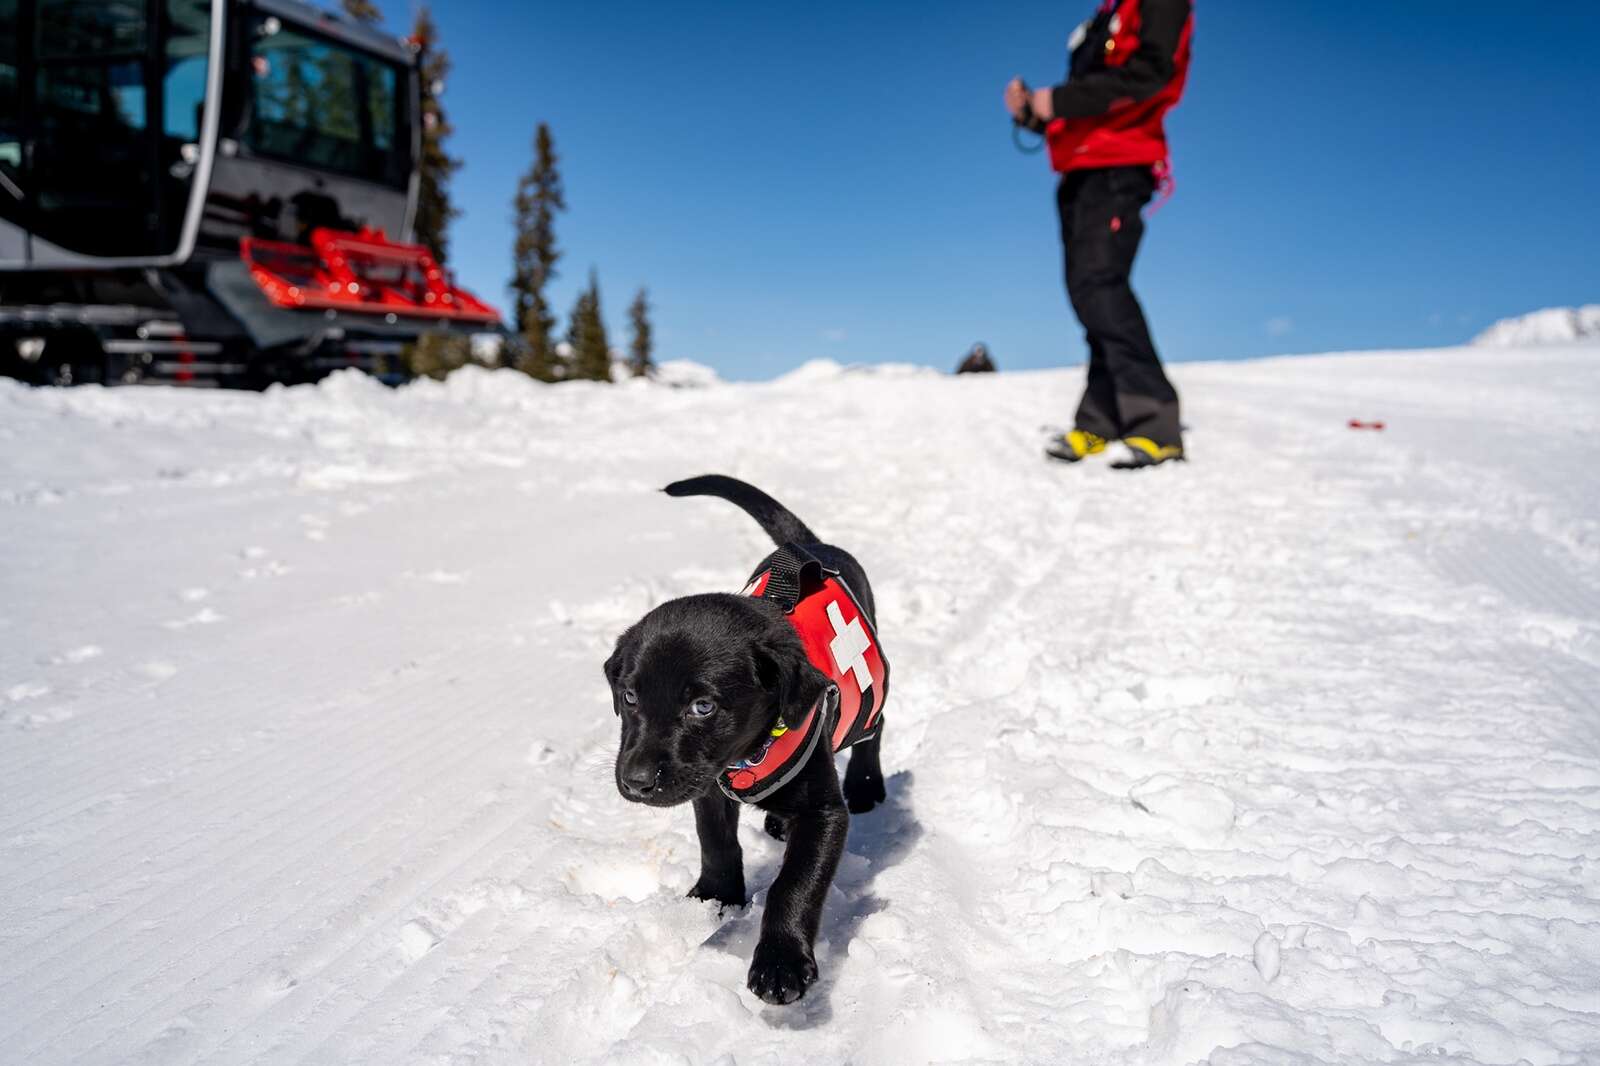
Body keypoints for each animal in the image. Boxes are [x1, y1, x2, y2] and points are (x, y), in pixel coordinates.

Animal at [604, 473, 896, 1005]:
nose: (635, 782)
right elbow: (716, 843)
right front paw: (716, 898)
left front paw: (781, 965)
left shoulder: (824, 815)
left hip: (870, 691)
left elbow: (793, 884)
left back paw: (866, 785)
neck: (747, 756)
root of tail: (809, 543)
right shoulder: (708, 787)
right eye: (629, 696)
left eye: (703, 706)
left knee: (875, 726)